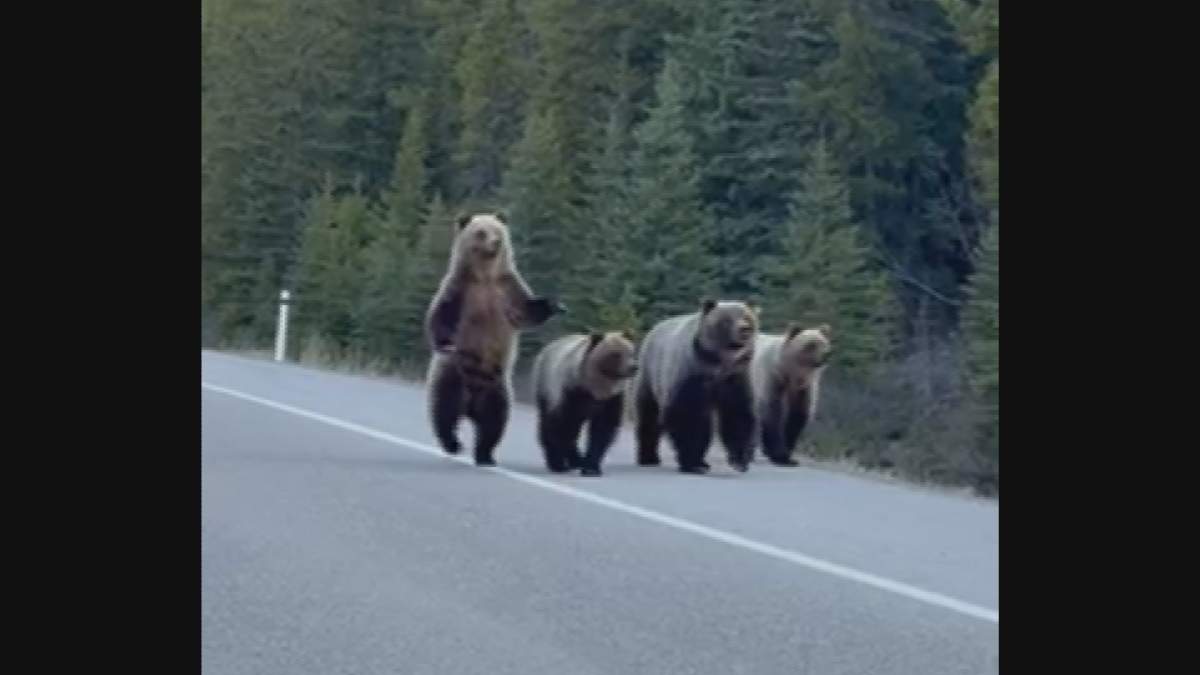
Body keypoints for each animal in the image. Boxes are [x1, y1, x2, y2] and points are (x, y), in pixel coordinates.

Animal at [424, 212, 563, 467]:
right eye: (481, 232)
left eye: (497, 231)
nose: (496, 243)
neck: (485, 275)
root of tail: (469, 407)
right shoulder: (460, 289)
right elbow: (440, 314)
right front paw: (446, 342)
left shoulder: (508, 290)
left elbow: (528, 310)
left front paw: (556, 304)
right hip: (452, 377)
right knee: (444, 410)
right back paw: (453, 444)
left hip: (496, 389)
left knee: (494, 422)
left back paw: (485, 455)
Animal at [531, 331, 639, 477]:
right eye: (615, 354)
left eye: (631, 352)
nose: (633, 367)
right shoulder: (571, 392)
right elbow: (562, 426)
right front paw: (562, 463)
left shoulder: (613, 399)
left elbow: (602, 430)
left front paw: (591, 467)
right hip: (545, 386)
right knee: (549, 423)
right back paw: (563, 460)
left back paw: (576, 461)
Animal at [632, 299, 760, 474]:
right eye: (726, 320)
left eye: (747, 317)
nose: (744, 329)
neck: (718, 363)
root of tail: (653, 329)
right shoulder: (691, 373)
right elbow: (687, 415)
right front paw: (692, 463)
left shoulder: (735, 377)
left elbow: (738, 413)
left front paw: (739, 461)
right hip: (650, 375)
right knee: (649, 416)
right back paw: (649, 457)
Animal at [749, 323, 833, 467]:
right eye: (811, 344)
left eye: (824, 343)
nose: (826, 354)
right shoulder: (773, 377)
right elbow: (773, 412)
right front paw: (780, 455)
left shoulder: (804, 388)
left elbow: (797, 416)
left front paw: (788, 456)